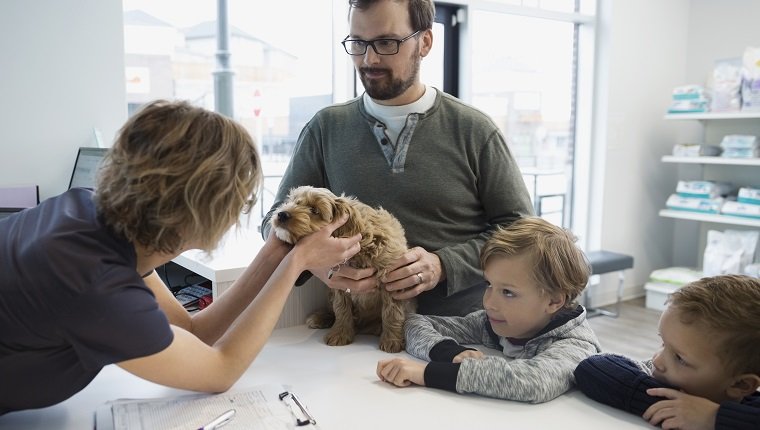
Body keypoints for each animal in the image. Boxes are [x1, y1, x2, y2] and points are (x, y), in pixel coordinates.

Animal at [270, 186, 416, 352]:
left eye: (314, 210)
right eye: (292, 201)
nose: (282, 214)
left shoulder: (392, 279)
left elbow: (392, 312)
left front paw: (392, 340)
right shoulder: (339, 285)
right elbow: (341, 310)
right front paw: (340, 334)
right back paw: (321, 317)